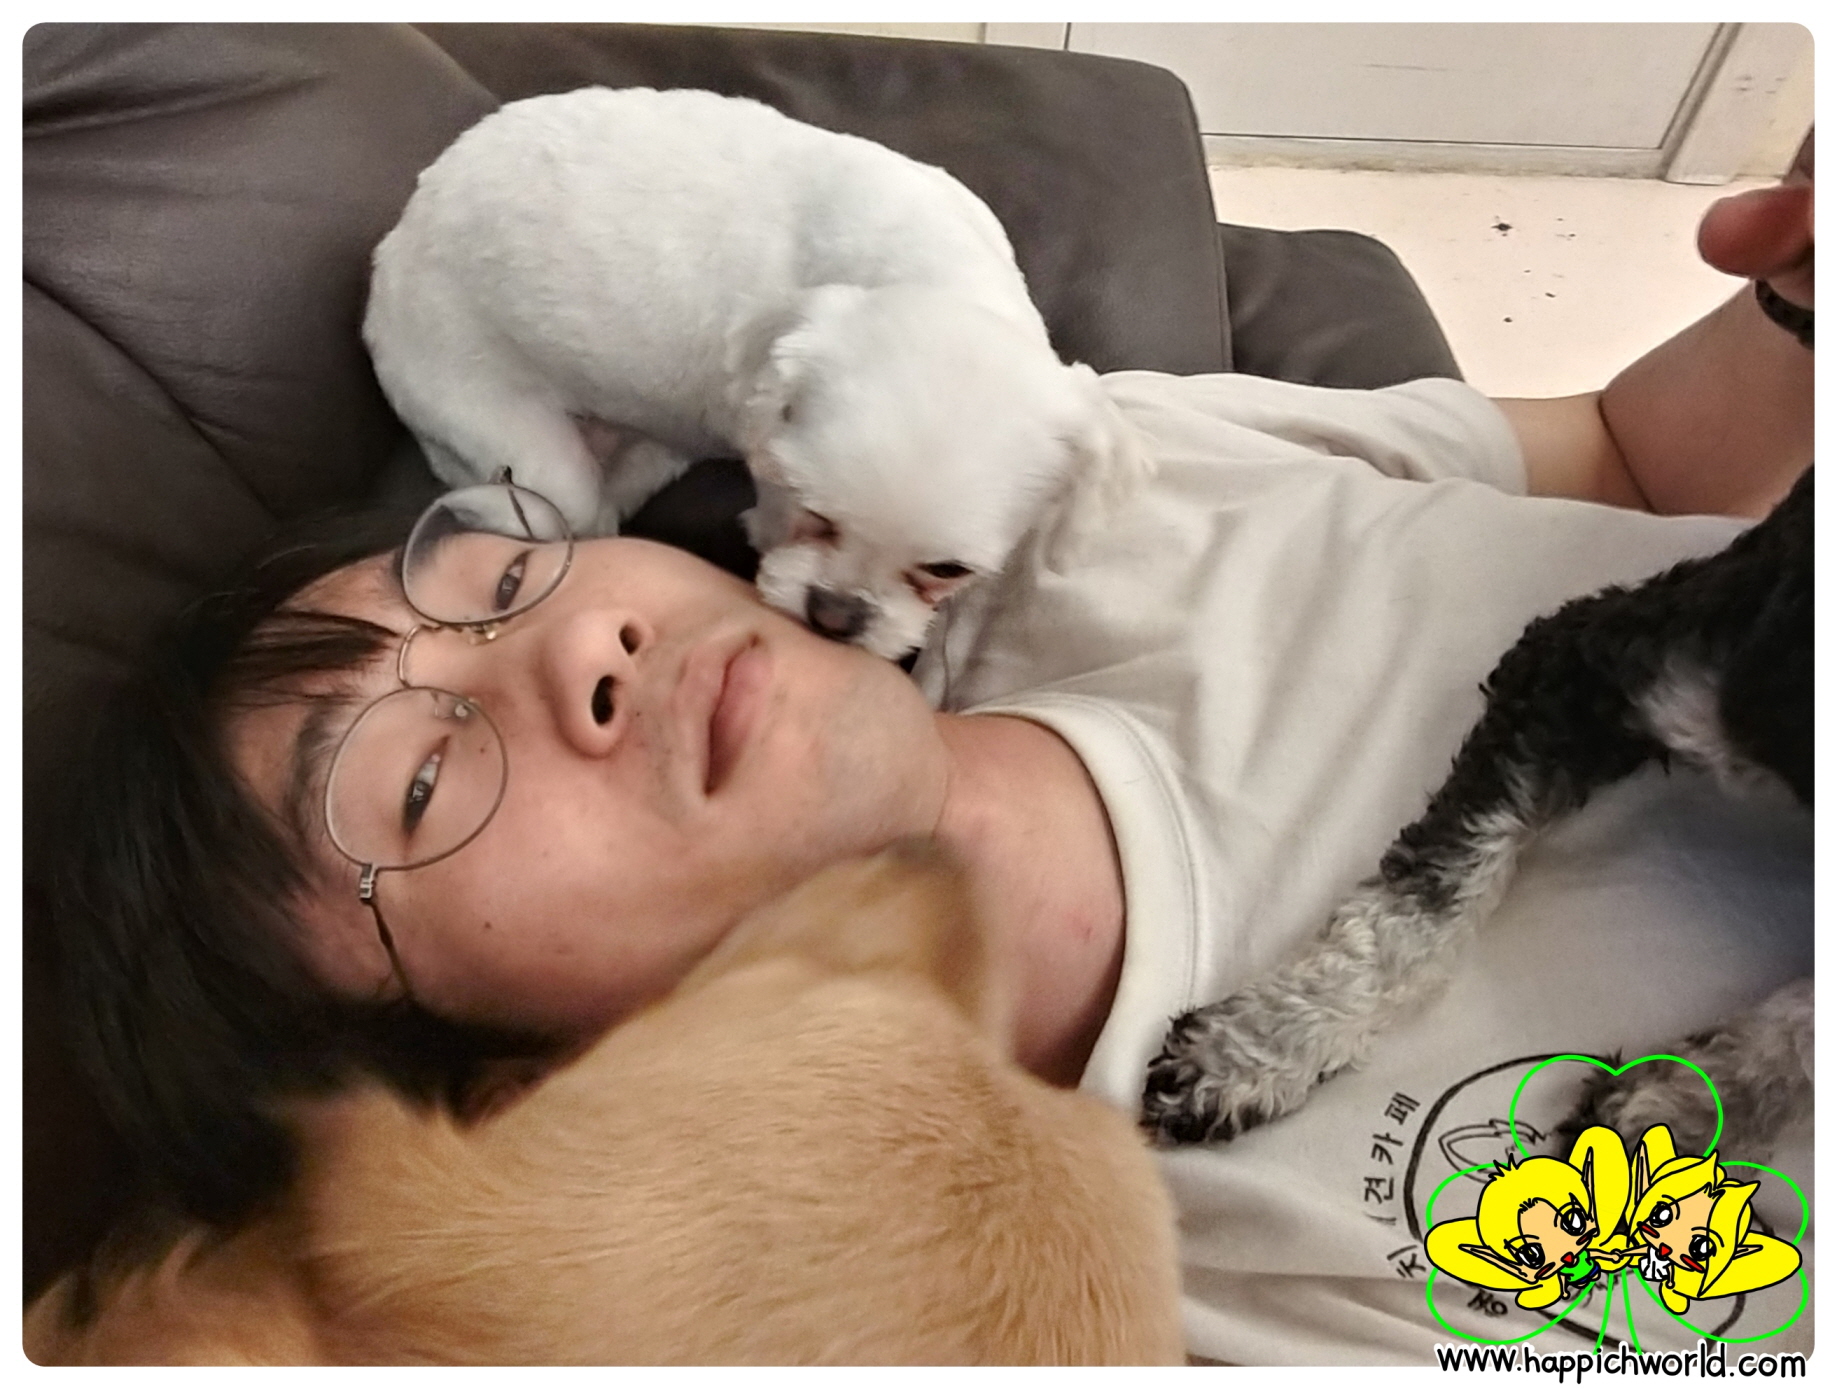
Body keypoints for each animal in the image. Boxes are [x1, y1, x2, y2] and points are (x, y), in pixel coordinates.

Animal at [363, 86, 1149, 659]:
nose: (834, 617)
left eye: (948, 571)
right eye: (814, 510)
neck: (932, 272)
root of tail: (396, 239)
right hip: (504, 433)